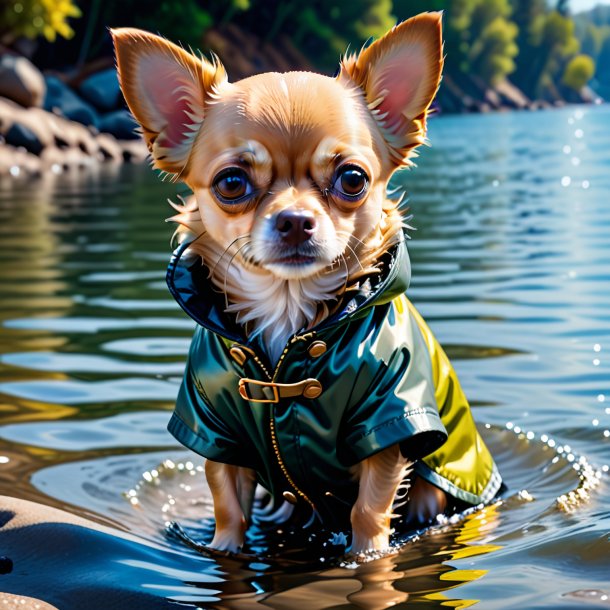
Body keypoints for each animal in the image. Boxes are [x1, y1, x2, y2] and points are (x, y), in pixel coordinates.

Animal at [113, 13, 498, 556]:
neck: (287, 316)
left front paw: (366, 556)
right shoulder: (215, 428)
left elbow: (368, 509)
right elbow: (227, 507)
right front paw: (224, 550)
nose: (295, 220)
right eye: (231, 183)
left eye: (353, 179)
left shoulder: (388, 421)